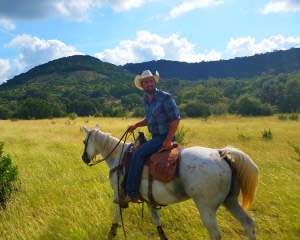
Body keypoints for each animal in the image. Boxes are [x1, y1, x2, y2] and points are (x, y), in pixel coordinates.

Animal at [81, 125, 258, 240]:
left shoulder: (118, 195)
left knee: (216, 234)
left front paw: (110, 235)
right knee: (248, 223)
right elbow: (156, 221)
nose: (84, 158)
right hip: (230, 201)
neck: (119, 156)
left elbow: (116, 217)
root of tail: (221, 154)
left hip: (206, 207)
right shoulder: (149, 199)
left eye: (84, 142)